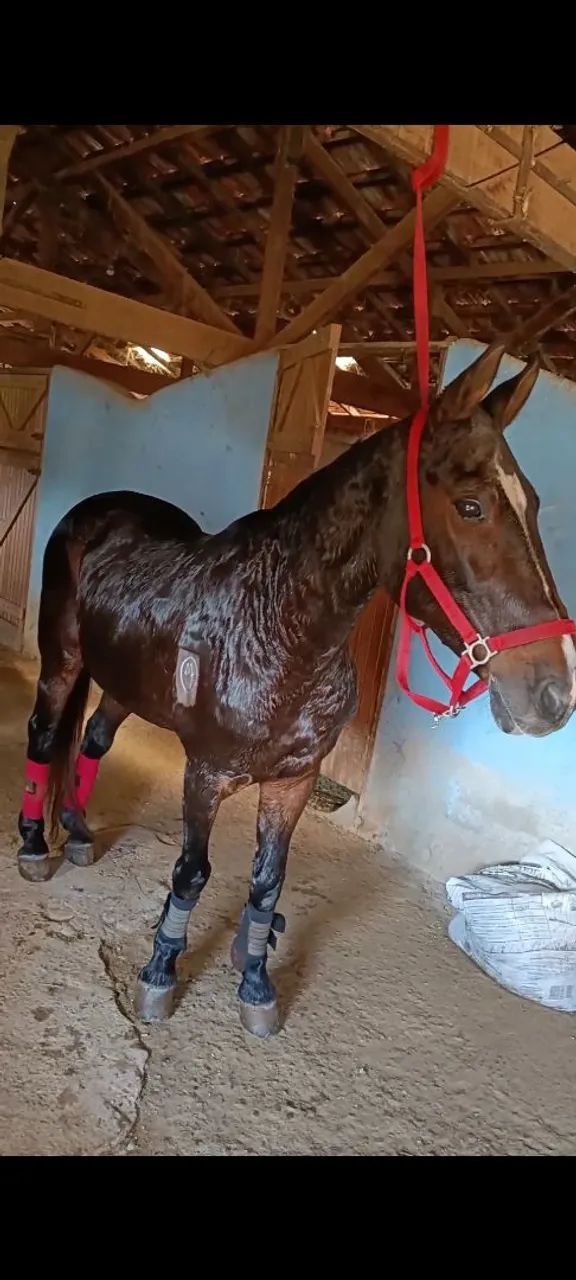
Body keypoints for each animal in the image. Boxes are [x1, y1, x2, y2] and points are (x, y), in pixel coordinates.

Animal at [16, 342, 576, 1038]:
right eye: (471, 505)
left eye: (533, 502)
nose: (554, 693)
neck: (280, 623)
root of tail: (99, 510)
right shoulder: (205, 774)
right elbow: (192, 874)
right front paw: (161, 973)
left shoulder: (295, 780)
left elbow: (267, 882)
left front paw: (256, 983)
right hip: (63, 661)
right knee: (45, 737)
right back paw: (35, 844)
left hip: (124, 681)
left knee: (92, 739)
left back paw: (78, 831)